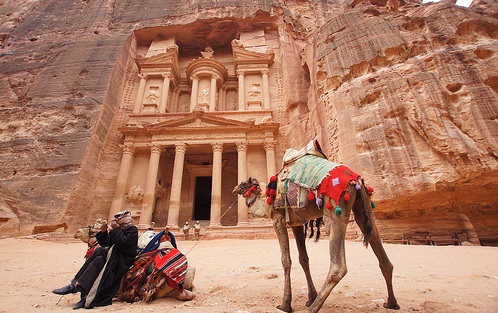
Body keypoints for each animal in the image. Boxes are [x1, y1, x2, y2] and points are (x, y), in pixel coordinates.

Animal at [233, 152, 400, 310]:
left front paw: (286, 304)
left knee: (338, 266)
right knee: (382, 256)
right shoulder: (297, 224)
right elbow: (304, 259)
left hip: (335, 207)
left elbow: (286, 260)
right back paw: (391, 303)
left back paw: (313, 308)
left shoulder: (278, 219)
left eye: (243, 183)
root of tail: (355, 180)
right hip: (362, 205)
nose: (234, 189)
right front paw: (310, 297)